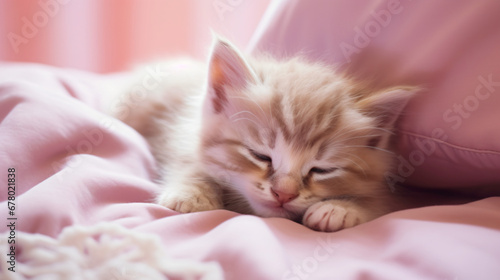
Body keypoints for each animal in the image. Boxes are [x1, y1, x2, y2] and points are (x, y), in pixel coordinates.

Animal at [113, 36, 418, 232]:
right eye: (260, 155)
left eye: (322, 169)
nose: (283, 194)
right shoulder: (179, 133)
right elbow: (190, 163)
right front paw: (192, 193)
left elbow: (384, 203)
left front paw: (343, 209)